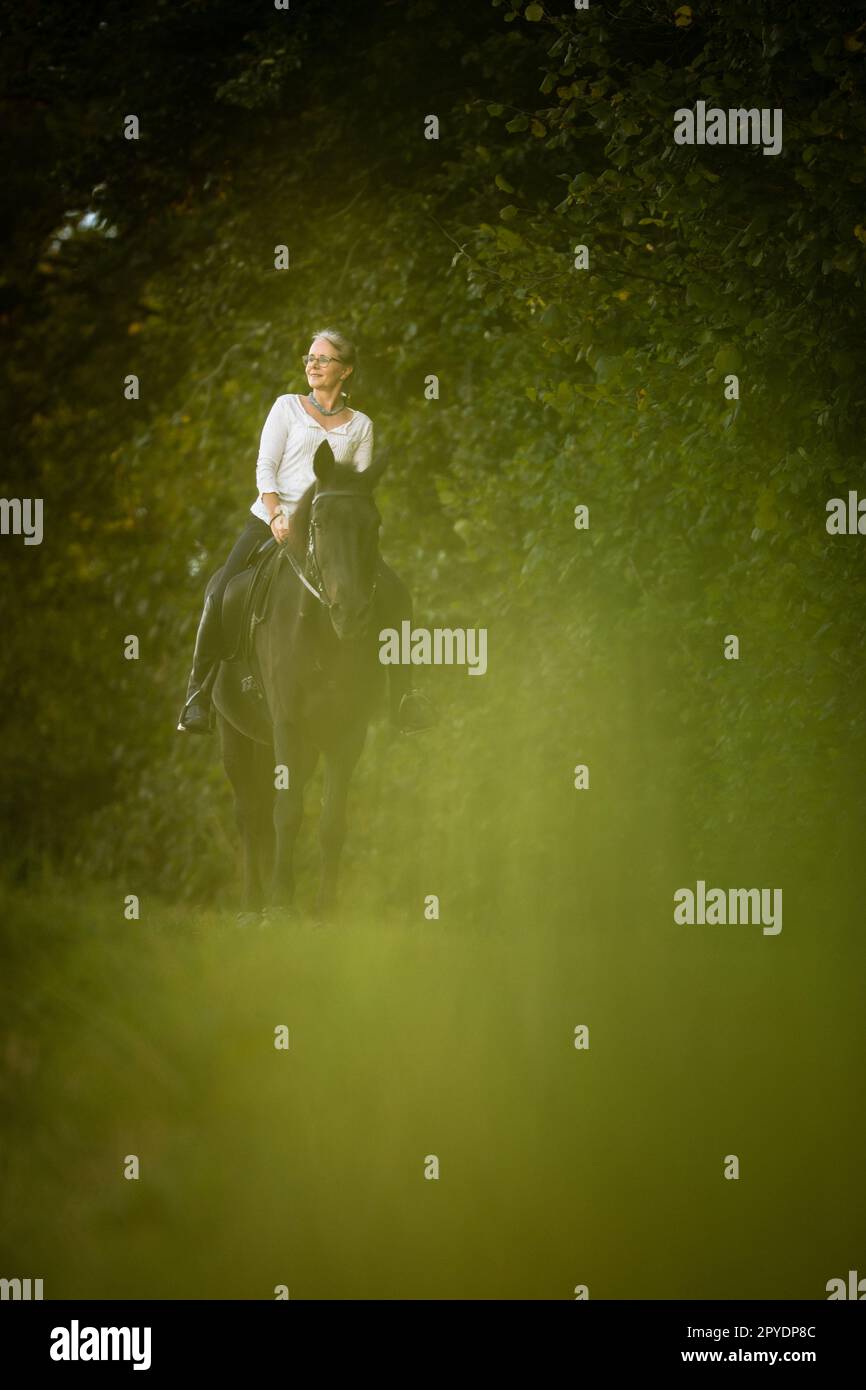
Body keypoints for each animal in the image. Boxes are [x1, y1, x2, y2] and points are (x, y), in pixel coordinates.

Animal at [211, 439, 411, 922]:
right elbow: (287, 812)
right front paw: (281, 903)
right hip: (235, 734)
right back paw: (252, 902)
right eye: (320, 523)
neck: (323, 634)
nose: (351, 613)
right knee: (249, 812)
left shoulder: (348, 732)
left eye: (374, 524)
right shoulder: (287, 725)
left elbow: (331, 820)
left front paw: (324, 908)